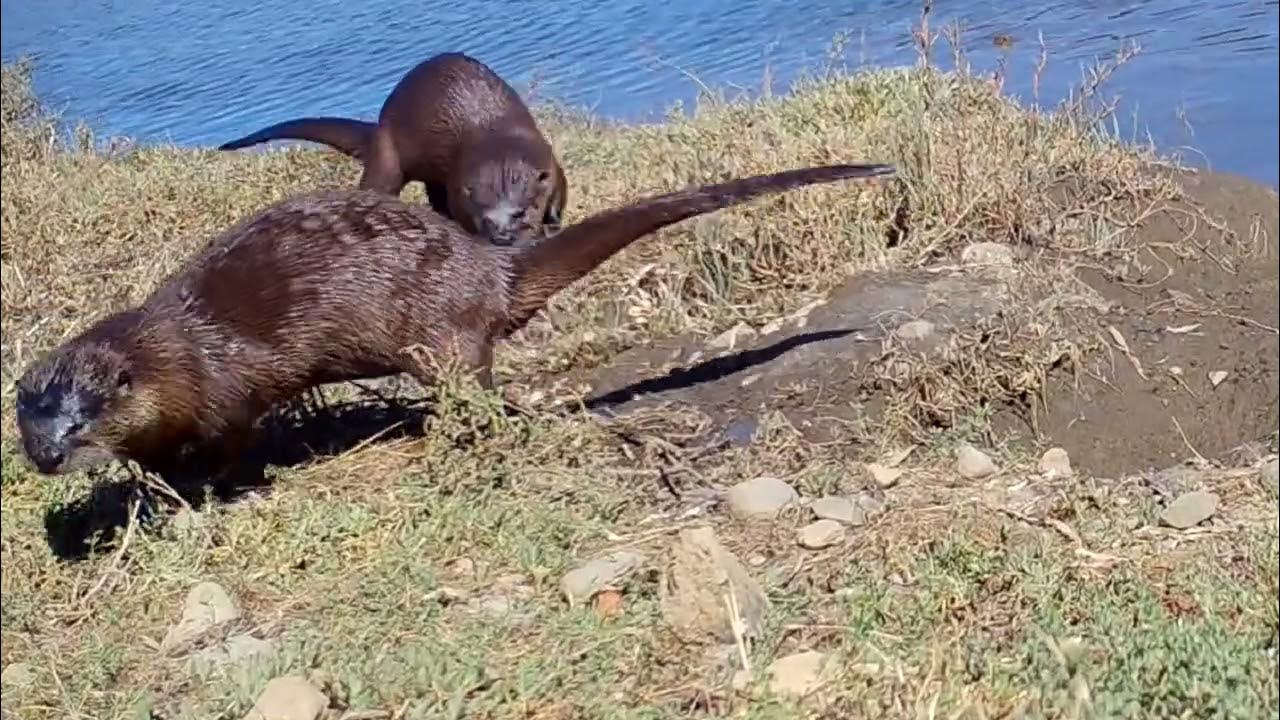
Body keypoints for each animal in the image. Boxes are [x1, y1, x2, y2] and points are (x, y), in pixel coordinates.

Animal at [15, 162, 896, 485]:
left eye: (82, 417)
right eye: (29, 423)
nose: (49, 456)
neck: (179, 354)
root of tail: (486, 267)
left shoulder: (226, 389)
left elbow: (233, 440)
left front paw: (204, 482)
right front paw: (154, 482)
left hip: (439, 334)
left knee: (477, 385)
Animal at [217, 52, 568, 247]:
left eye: (522, 212)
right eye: (484, 217)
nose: (502, 238)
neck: (495, 137)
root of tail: (379, 127)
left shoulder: (551, 162)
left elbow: (559, 196)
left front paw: (550, 226)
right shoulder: (458, 185)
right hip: (388, 159)